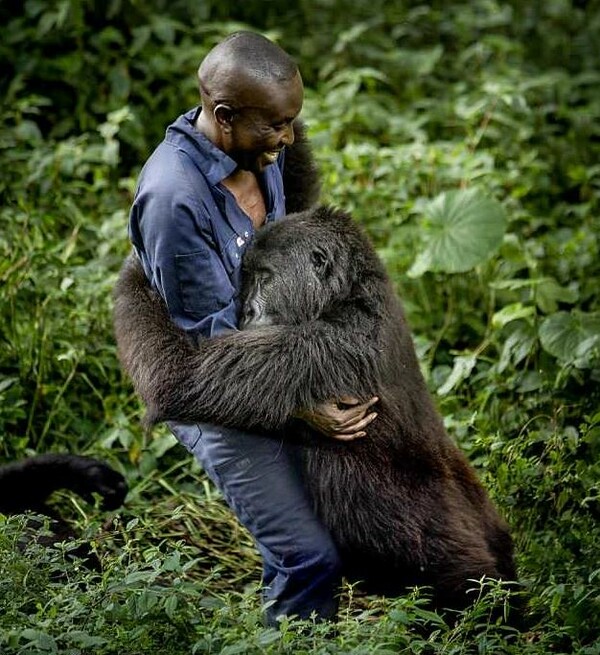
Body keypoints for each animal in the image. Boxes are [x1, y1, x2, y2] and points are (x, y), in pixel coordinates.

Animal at [115, 202, 516, 612]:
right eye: (247, 279)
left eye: (264, 278)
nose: (246, 314)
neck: (349, 291)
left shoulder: (323, 343)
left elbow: (178, 378)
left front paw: (133, 272)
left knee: (470, 588)